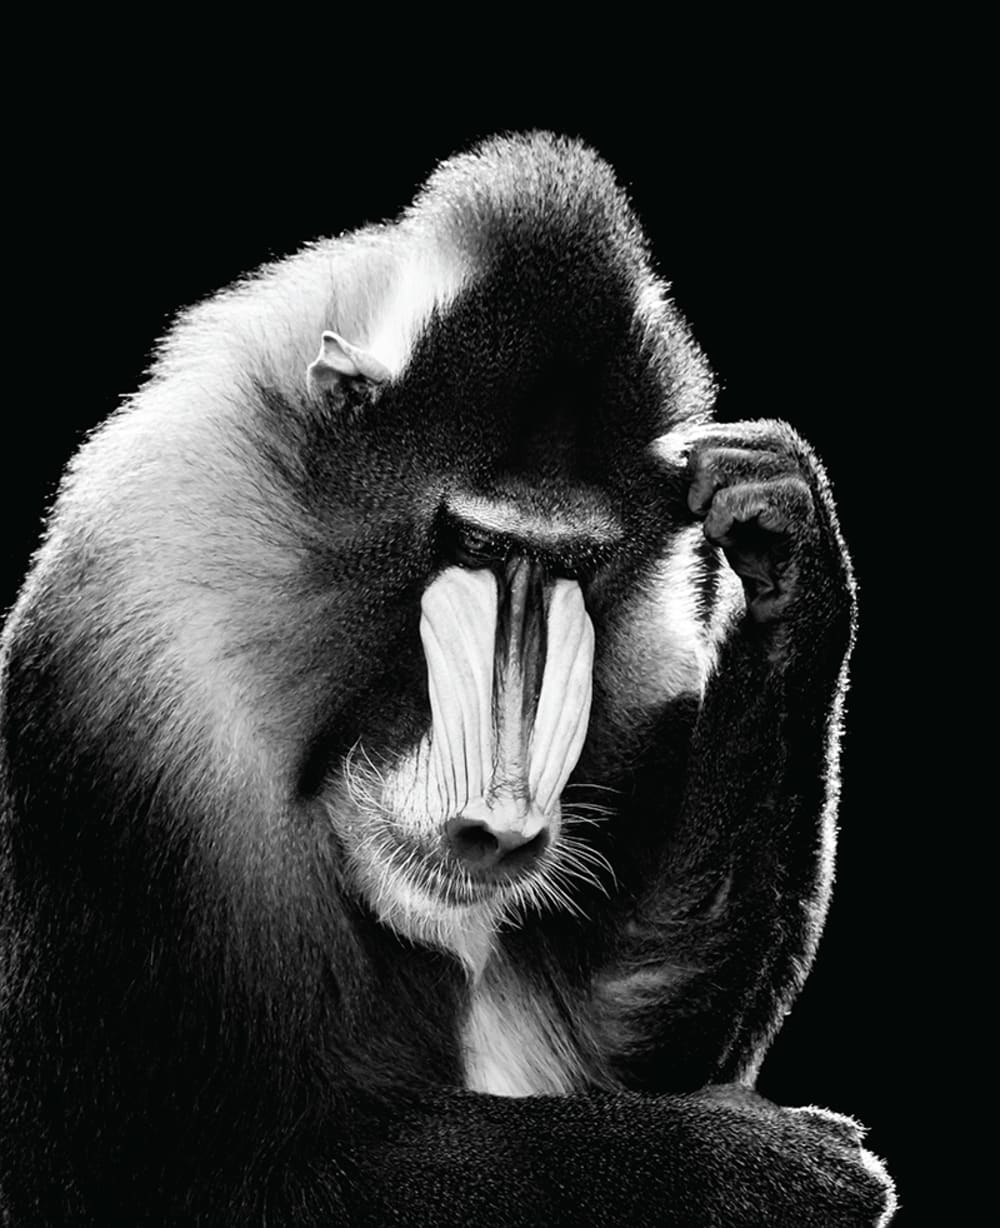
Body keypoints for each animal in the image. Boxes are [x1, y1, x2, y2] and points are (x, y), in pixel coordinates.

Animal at [0, 132, 896, 1226]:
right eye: (475, 543)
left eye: (573, 565)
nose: (499, 825)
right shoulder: (133, 699)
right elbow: (227, 1182)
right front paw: (763, 1169)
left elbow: (620, 1021)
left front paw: (787, 540)